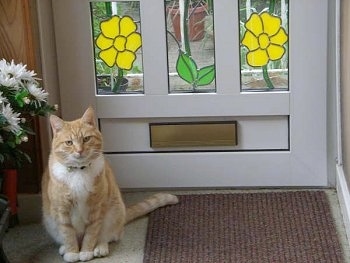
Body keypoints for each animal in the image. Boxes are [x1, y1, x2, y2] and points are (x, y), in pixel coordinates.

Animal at [41, 107, 178, 262]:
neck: (78, 172)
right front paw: (72, 253)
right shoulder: (62, 210)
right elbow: (68, 233)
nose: (79, 150)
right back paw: (64, 248)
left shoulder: (96, 208)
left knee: (108, 236)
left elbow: (91, 234)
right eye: (69, 143)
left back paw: (100, 248)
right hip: (50, 221)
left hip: (113, 212)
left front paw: (86, 251)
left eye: (86, 139)